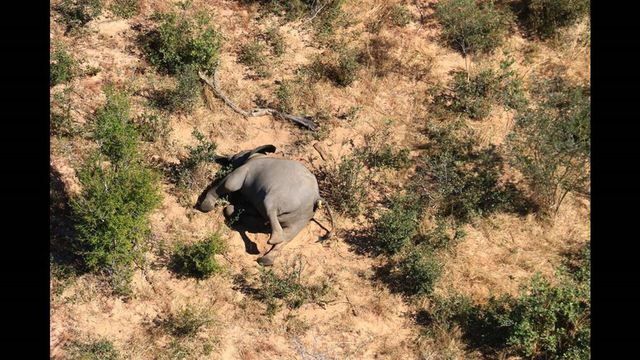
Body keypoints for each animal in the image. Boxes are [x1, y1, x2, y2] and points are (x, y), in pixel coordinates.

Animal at [195, 145, 336, 266]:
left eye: (235, 156)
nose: (218, 157)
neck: (256, 156)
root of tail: (317, 197)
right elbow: (235, 209)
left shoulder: (243, 171)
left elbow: (229, 185)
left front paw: (206, 205)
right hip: (302, 218)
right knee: (287, 235)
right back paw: (266, 259)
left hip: (280, 198)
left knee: (271, 211)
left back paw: (271, 239)